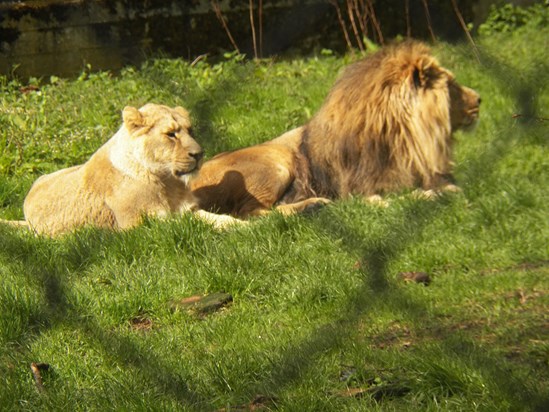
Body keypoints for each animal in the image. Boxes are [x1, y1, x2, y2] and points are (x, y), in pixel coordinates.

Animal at [9, 103, 241, 235]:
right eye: (171, 134)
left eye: (190, 131)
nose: (199, 154)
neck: (167, 181)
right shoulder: (138, 225)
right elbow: (184, 223)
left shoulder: (188, 207)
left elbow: (219, 218)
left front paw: (244, 226)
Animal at [192, 40, 480, 217]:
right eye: (452, 86)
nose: (479, 99)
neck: (407, 141)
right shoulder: (358, 191)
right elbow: (394, 199)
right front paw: (428, 196)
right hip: (277, 161)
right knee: (252, 212)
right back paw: (312, 206)